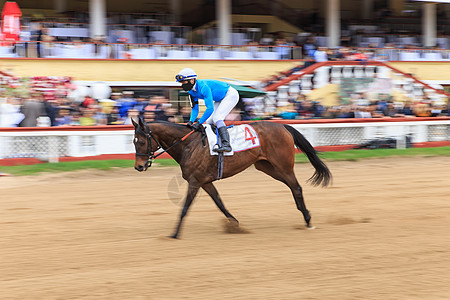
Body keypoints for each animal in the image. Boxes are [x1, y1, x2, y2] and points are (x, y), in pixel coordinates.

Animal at [130, 118, 330, 238]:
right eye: (133, 141)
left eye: (142, 141)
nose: (139, 166)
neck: (188, 144)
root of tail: (282, 125)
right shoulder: (205, 182)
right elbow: (219, 202)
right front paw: (234, 224)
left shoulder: (195, 181)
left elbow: (185, 208)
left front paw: (174, 234)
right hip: (267, 167)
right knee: (292, 186)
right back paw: (305, 214)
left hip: (283, 165)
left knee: (296, 187)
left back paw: (307, 219)